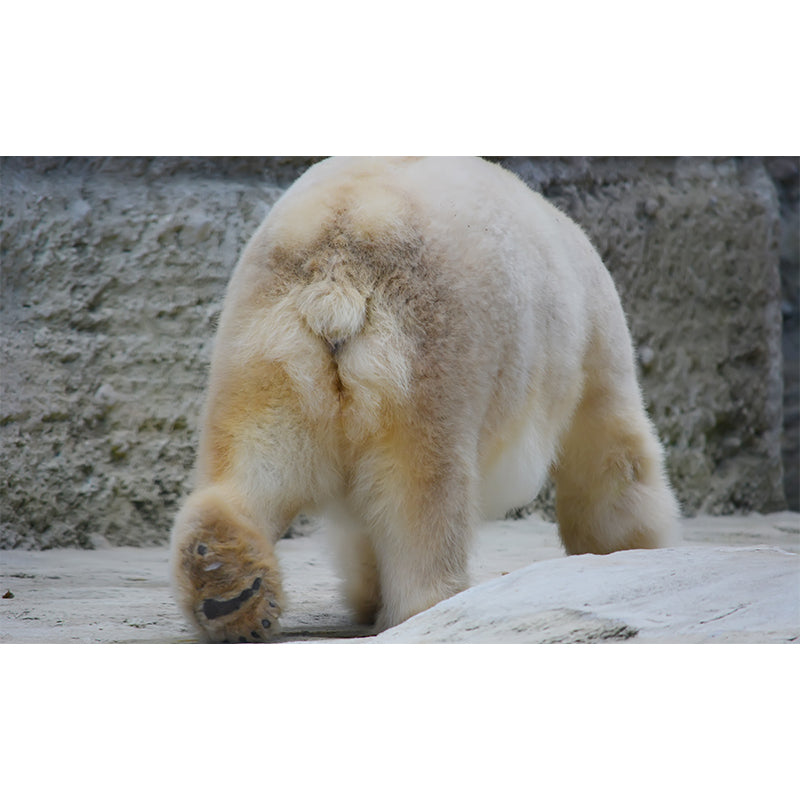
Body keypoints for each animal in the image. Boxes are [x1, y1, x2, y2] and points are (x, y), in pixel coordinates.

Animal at [169, 156, 679, 643]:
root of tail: (336, 262)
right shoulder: (591, 338)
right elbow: (609, 452)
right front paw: (626, 551)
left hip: (266, 347)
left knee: (253, 461)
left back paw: (227, 588)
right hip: (426, 348)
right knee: (422, 489)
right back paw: (430, 604)